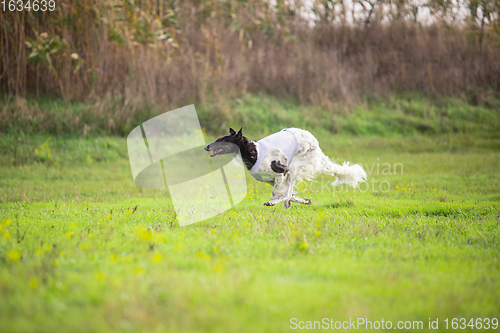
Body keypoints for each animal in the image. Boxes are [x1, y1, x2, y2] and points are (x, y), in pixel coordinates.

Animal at [204, 127, 368, 208]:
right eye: (218, 139)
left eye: (222, 140)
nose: (206, 147)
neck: (253, 152)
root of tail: (317, 146)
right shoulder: (271, 179)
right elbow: (286, 193)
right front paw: (301, 200)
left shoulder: (282, 172)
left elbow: (279, 194)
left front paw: (274, 201)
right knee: (288, 193)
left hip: (294, 167)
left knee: (287, 192)